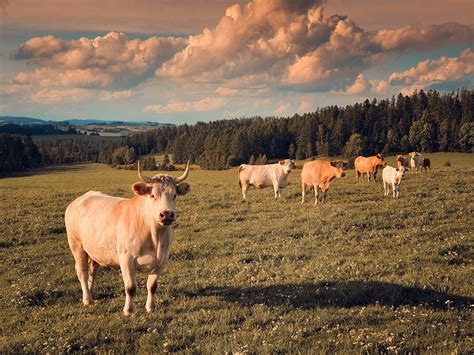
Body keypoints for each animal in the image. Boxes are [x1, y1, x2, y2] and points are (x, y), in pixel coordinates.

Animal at [65, 163, 191, 316]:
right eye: (153, 195)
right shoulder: (126, 258)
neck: (155, 237)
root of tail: (82, 197)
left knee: (92, 269)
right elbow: (130, 287)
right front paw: (129, 310)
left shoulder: (162, 260)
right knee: (81, 271)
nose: (166, 214)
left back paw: (90, 292)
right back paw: (87, 299)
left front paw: (151, 307)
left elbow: (152, 286)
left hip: (94, 248)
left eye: (174, 195)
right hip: (76, 245)